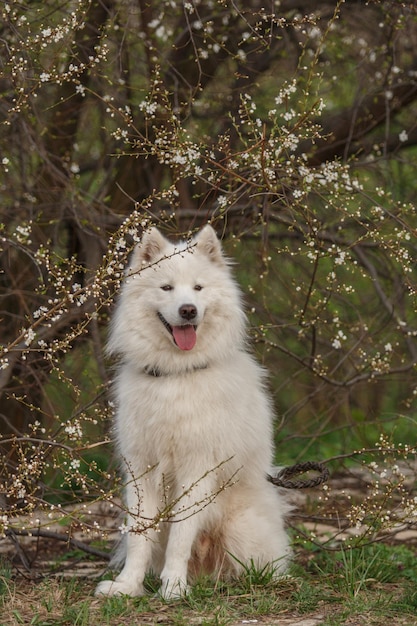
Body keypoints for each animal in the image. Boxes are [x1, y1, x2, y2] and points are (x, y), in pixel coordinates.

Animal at [95, 225, 290, 600]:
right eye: (166, 288)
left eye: (198, 288)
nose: (188, 310)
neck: (177, 374)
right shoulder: (141, 471)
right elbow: (141, 535)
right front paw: (128, 586)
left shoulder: (197, 469)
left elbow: (181, 535)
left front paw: (173, 586)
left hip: (240, 528)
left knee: (260, 565)